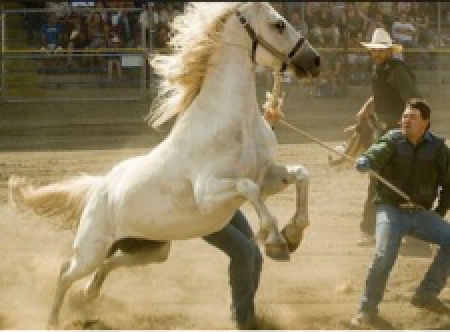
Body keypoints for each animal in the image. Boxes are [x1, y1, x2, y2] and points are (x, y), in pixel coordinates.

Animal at [7, 3, 320, 330]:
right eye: (279, 24)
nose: (315, 61)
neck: (235, 122)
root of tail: (99, 187)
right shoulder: (209, 193)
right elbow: (249, 189)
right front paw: (276, 241)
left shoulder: (266, 176)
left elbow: (301, 175)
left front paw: (294, 233)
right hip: (91, 249)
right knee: (65, 271)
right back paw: (53, 319)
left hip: (150, 249)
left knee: (106, 264)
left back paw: (86, 298)